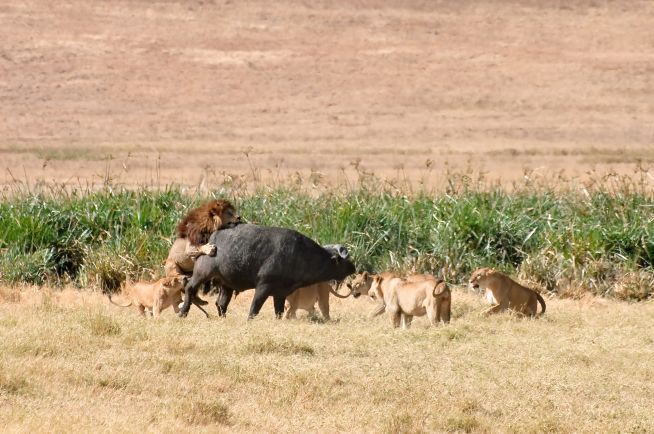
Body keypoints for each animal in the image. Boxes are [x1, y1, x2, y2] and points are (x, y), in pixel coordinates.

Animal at [177, 224, 356, 318]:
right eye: (343, 260)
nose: (354, 266)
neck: (301, 255)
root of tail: (212, 237)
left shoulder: (280, 294)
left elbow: (279, 312)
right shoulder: (263, 287)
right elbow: (254, 309)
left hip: (226, 284)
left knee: (221, 303)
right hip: (202, 273)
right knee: (190, 287)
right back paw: (183, 312)